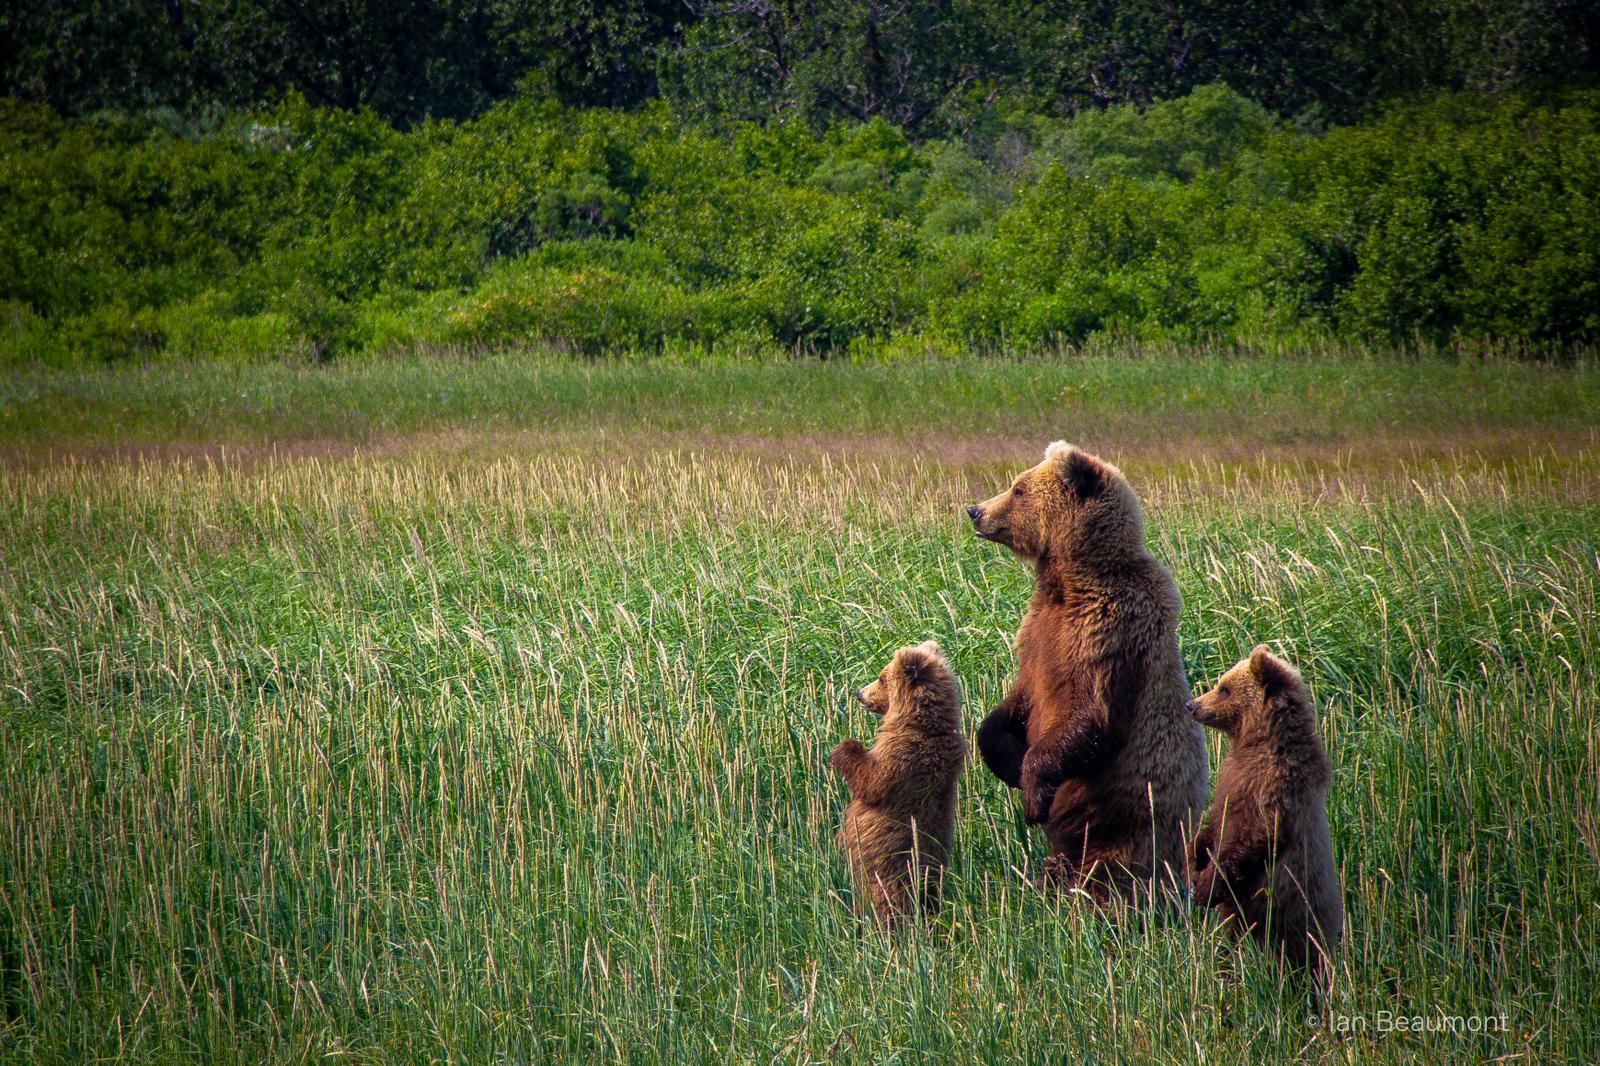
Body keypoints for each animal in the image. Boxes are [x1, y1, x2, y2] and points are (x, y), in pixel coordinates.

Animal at [831, 640, 968, 926]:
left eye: (882, 677)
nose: (860, 693)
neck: (922, 723)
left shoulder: (902, 756)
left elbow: (871, 781)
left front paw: (845, 747)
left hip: (885, 873)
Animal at [967, 441, 1208, 903]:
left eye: (1018, 489)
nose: (975, 510)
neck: (1071, 580)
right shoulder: (1039, 635)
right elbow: (1016, 704)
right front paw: (1008, 762)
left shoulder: (1107, 632)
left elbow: (1090, 716)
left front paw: (1034, 795)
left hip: (1130, 820)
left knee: (1115, 870)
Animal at [1188, 645, 1343, 974]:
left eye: (1224, 688)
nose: (1191, 704)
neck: (1260, 743)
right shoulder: (1232, 783)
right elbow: (1216, 822)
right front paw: (1195, 856)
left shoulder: (1274, 789)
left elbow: (1252, 837)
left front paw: (1206, 888)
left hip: (1294, 921)